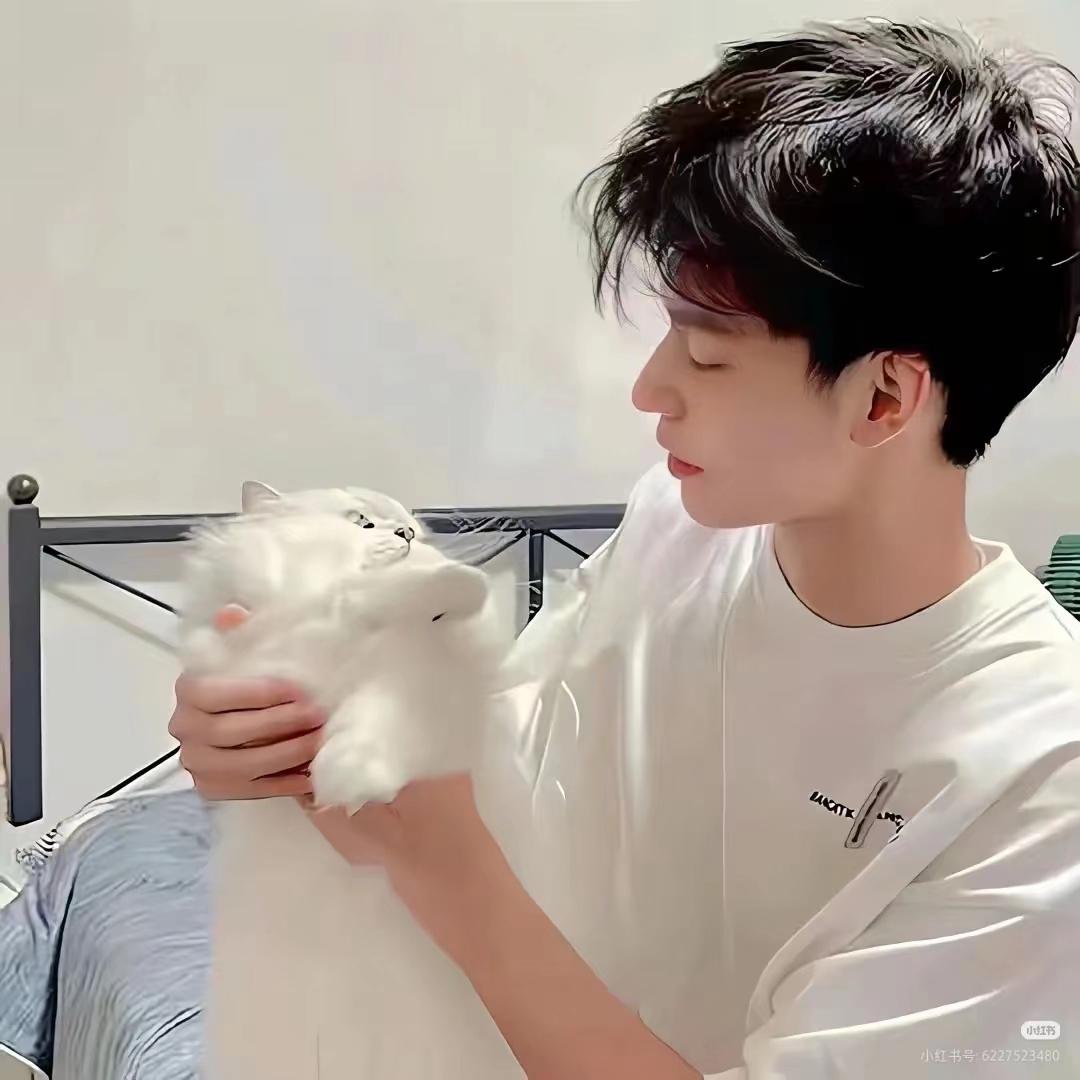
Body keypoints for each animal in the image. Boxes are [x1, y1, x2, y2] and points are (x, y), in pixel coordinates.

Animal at [180, 481, 524, 1079]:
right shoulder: (271, 651)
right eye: (361, 521)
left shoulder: (429, 692)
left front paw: (350, 775)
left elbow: (388, 706)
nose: (407, 534)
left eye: (416, 529)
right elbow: (348, 604)